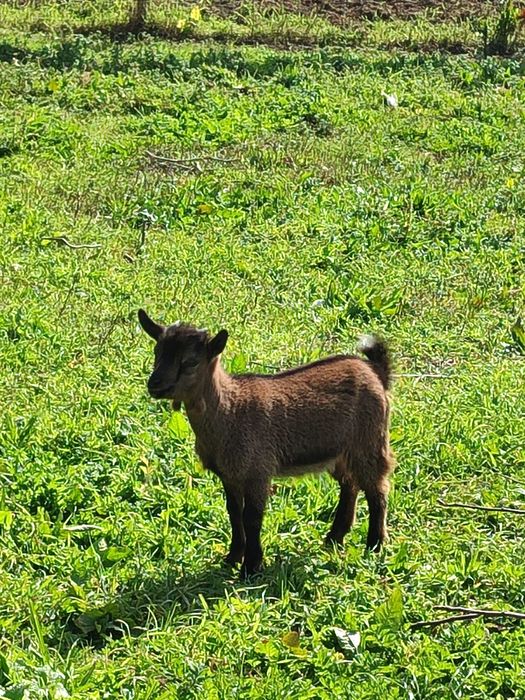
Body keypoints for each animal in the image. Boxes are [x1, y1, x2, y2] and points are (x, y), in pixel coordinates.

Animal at [138, 308, 395, 577]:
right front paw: (232, 558)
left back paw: (374, 545)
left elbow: (251, 517)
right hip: (341, 451)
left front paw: (251, 566)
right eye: (157, 352)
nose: (154, 384)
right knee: (350, 485)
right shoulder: (229, 475)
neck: (229, 411)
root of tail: (376, 372)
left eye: (190, 362)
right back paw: (334, 538)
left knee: (377, 489)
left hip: (369, 440)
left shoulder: (257, 471)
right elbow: (233, 512)